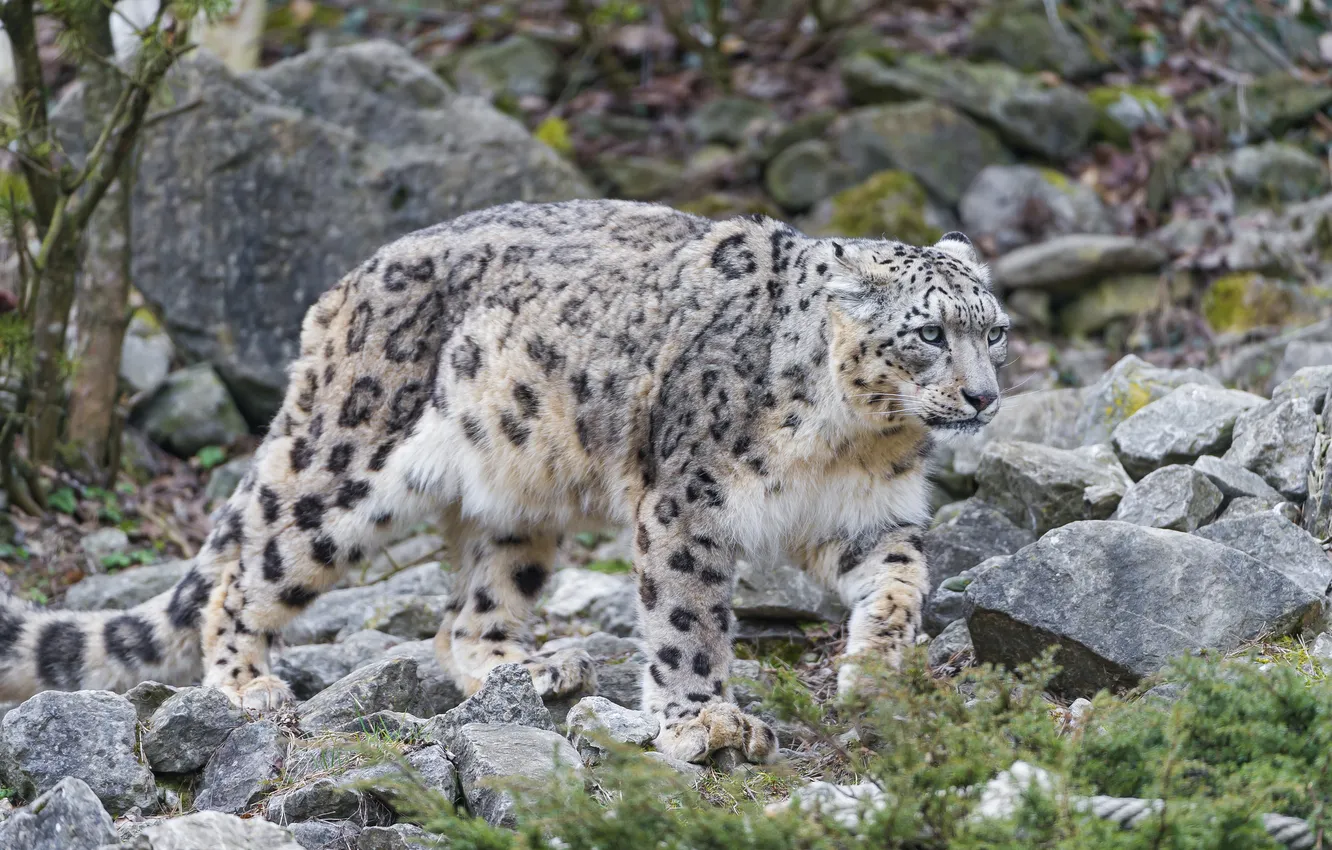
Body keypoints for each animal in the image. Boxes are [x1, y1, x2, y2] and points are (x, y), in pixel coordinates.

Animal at [0, 200, 1007, 765]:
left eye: (992, 329)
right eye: (928, 333)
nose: (987, 396)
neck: (851, 441)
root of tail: (343, 289)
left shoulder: (868, 516)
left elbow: (902, 579)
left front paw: (877, 670)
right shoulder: (689, 503)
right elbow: (688, 621)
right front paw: (707, 721)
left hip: (521, 502)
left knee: (467, 613)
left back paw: (531, 665)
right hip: (344, 470)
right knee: (251, 570)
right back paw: (244, 685)